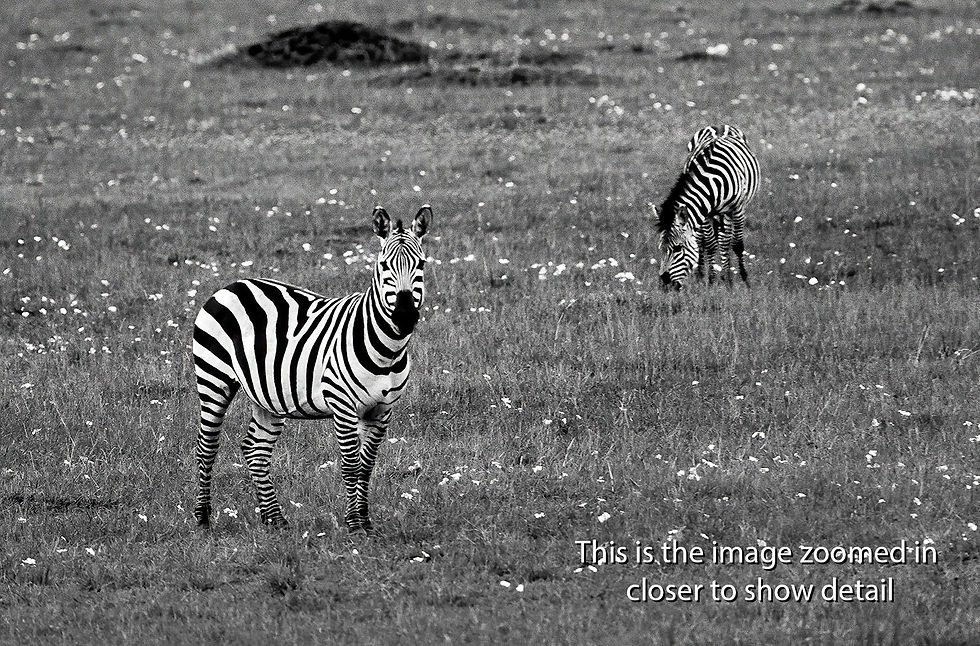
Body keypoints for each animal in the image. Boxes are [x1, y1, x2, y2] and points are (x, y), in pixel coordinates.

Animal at [191, 205, 431, 535]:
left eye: (420, 264)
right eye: (383, 266)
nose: (405, 316)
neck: (387, 350)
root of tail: (232, 285)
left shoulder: (382, 409)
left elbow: (367, 466)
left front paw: (365, 521)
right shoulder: (343, 405)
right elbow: (351, 465)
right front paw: (354, 525)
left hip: (267, 393)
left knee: (255, 449)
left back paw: (274, 519)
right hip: (213, 379)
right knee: (206, 446)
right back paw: (202, 517)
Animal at [653, 124, 760, 290]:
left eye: (678, 248)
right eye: (661, 249)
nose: (665, 285)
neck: (712, 180)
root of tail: (719, 125)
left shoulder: (737, 209)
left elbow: (737, 244)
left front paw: (744, 281)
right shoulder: (704, 213)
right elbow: (709, 245)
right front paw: (710, 282)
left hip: (726, 213)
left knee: (725, 241)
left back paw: (728, 278)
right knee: (706, 241)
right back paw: (704, 276)